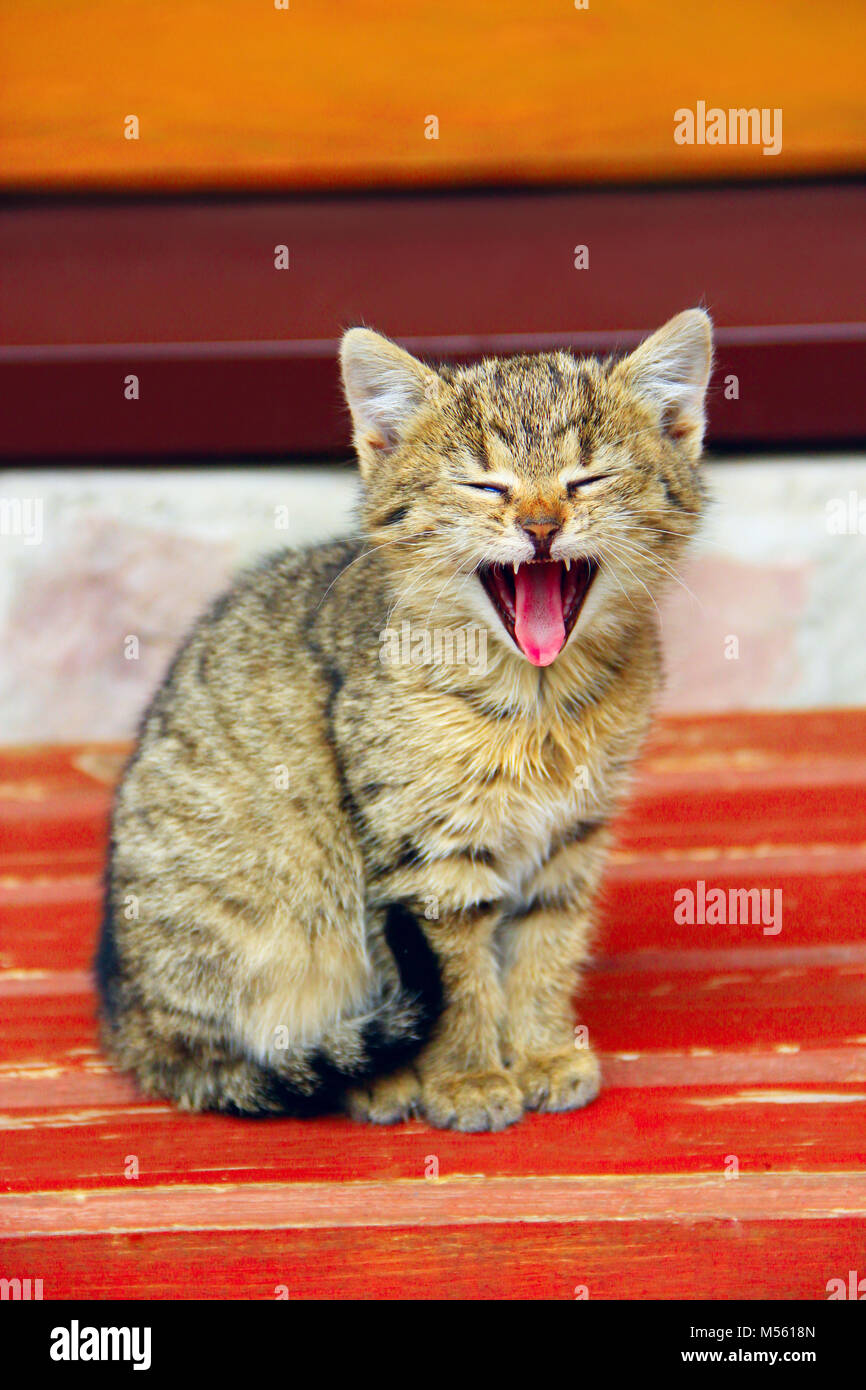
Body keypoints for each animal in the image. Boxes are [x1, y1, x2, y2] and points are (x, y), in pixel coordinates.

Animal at [97, 312, 717, 1128]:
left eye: (586, 479)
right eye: (486, 484)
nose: (541, 525)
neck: (539, 703)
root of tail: (133, 1021)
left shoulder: (571, 839)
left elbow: (546, 950)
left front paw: (542, 1049)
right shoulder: (426, 856)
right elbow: (458, 977)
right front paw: (468, 1076)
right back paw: (376, 1076)